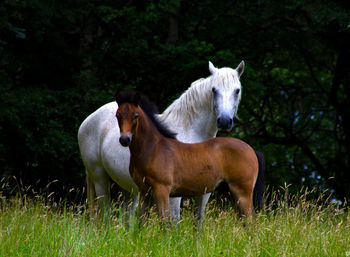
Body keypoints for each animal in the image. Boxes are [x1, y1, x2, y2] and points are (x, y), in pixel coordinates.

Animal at [78, 60, 245, 222]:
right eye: (214, 90)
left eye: (237, 90)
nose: (224, 121)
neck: (191, 134)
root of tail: (87, 120)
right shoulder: (173, 196)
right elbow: (174, 221)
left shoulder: (203, 194)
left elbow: (199, 222)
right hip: (99, 178)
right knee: (104, 215)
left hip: (128, 189)